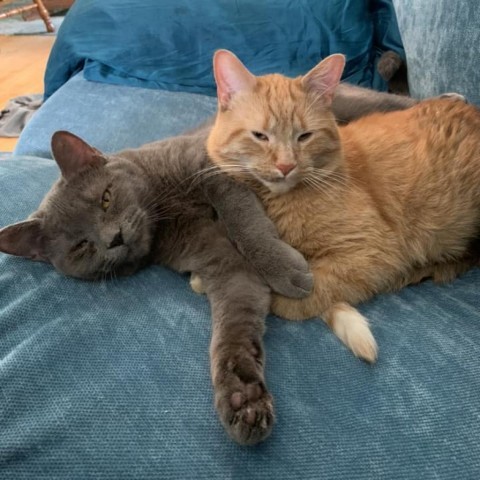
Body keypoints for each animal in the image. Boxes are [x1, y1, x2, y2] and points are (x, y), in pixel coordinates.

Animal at [0, 84, 420, 444]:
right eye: (81, 247)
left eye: (105, 198)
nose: (113, 238)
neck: (165, 211)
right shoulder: (222, 263)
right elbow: (232, 325)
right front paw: (243, 398)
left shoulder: (214, 167)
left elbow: (242, 218)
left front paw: (285, 270)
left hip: (356, 104)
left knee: (390, 102)